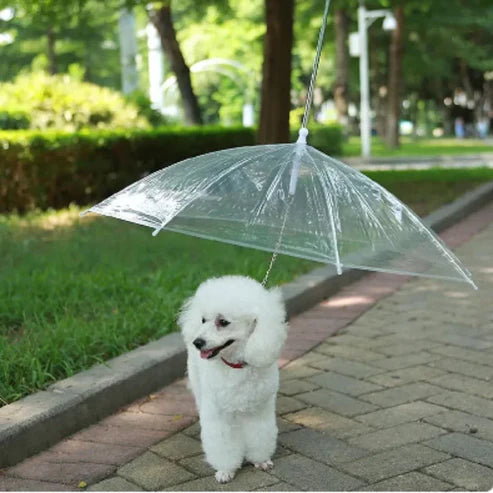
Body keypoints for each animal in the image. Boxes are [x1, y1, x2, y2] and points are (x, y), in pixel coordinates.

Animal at [178, 274, 286, 482]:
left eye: (223, 322)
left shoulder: (259, 410)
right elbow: (222, 443)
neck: (236, 366)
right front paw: (225, 470)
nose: (197, 342)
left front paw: (261, 460)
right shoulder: (219, 414)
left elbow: (260, 434)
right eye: (203, 320)